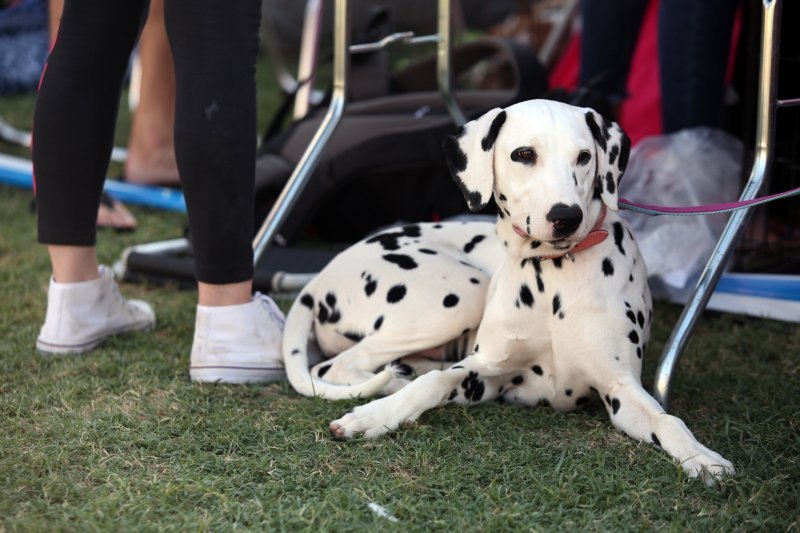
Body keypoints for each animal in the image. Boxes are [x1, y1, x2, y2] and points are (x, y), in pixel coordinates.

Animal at [328, 97, 736, 484]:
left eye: (584, 156)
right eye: (524, 154)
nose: (566, 216)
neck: (552, 276)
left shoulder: (619, 386)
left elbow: (667, 419)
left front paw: (700, 455)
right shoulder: (486, 372)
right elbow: (436, 381)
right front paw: (374, 416)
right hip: (458, 297)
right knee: (337, 365)